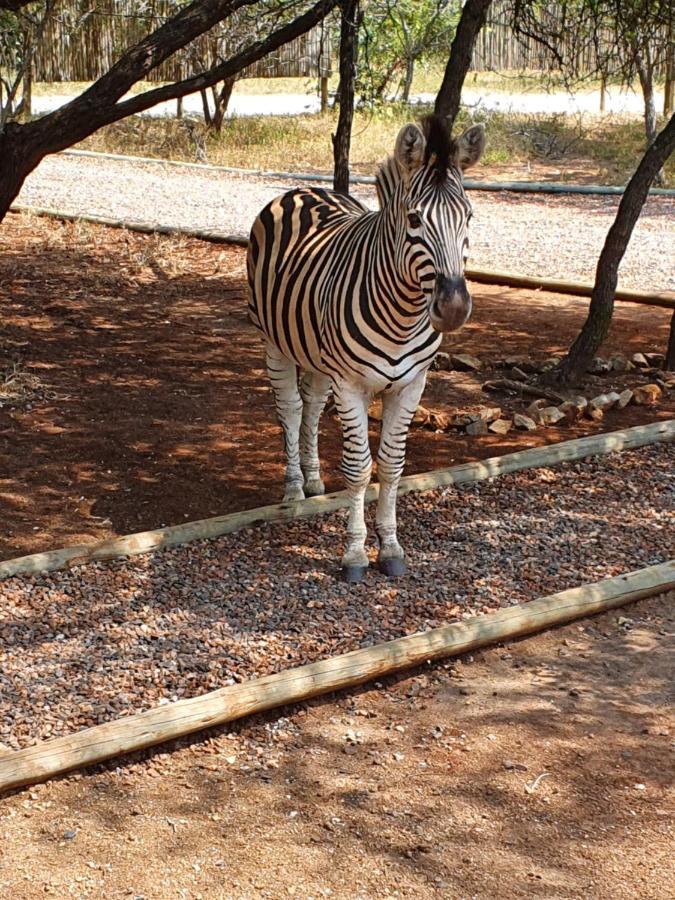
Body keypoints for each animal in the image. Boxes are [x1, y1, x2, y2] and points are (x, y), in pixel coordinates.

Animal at [248, 116, 486, 580]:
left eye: (468, 216)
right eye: (414, 219)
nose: (452, 308)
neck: (404, 314)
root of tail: (302, 190)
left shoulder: (412, 384)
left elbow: (392, 465)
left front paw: (391, 548)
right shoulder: (350, 383)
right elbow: (359, 468)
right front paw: (355, 554)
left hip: (316, 352)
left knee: (312, 405)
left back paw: (313, 479)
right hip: (275, 342)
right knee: (291, 407)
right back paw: (294, 487)